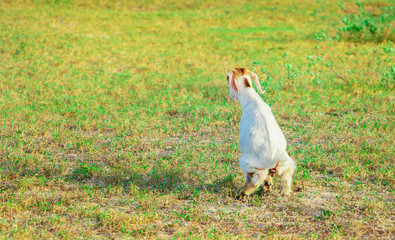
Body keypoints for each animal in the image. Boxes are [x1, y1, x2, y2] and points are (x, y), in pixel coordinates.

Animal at [227, 68, 296, 199]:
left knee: (257, 178)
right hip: (286, 162)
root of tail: (273, 157)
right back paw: (281, 190)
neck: (252, 99)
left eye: (227, 78)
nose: (231, 95)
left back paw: (242, 194)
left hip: (247, 163)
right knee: (285, 175)